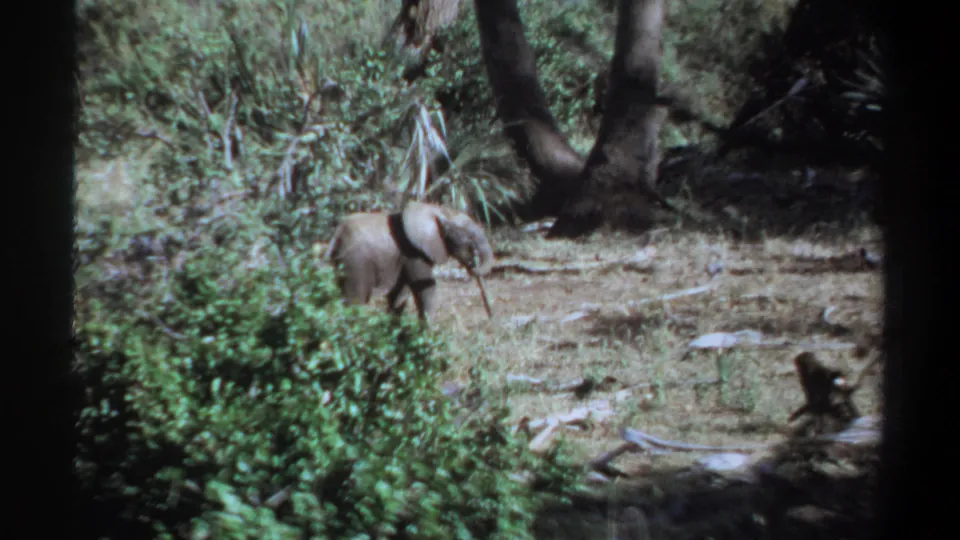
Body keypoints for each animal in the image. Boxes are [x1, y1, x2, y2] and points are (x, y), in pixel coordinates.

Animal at [325, 201, 495, 323]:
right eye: (471, 237)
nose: (491, 317)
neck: (436, 210)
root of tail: (337, 235)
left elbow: (400, 294)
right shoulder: (413, 252)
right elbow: (425, 288)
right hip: (356, 263)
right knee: (355, 300)